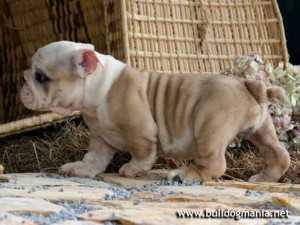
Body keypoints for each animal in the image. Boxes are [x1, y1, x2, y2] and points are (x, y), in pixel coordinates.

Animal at [19, 40, 290, 183]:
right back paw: (264, 178)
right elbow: (95, 157)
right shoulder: (100, 138)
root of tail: (248, 85)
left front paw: (132, 169)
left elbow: (142, 153)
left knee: (214, 163)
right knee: (277, 154)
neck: (96, 87)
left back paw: (183, 174)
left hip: (209, 126)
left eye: (40, 77)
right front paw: (81, 169)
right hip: (262, 129)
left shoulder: (139, 130)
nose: (22, 80)